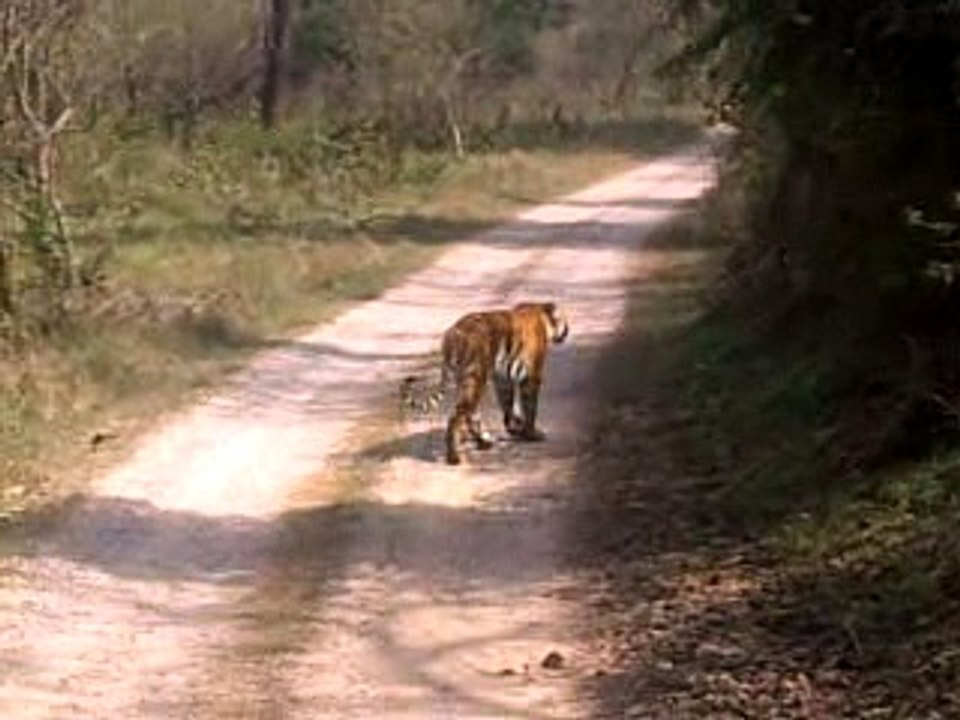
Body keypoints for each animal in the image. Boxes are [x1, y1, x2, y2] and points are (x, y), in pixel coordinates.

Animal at [401, 301, 569, 465]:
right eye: (565, 321)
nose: (567, 331)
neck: (541, 313)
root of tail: (453, 335)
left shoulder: (502, 379)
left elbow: (508, 405)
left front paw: (515, 429)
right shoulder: (532, 376)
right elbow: (530, 408)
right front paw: (532, 434)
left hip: (466, 382)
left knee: (471, 415)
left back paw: (484, 442)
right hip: (476, 378)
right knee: (456, 417)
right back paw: (454, 457)